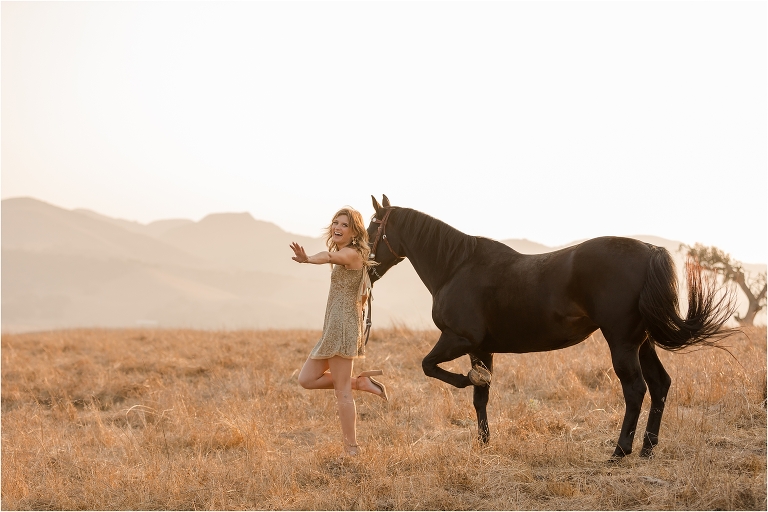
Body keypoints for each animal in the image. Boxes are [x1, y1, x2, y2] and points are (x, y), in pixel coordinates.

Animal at [366, 195, 735, 459]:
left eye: (371, 230)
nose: (367, 270)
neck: (456, 266)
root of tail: (649, 252)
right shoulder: (481, 347)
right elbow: (480, 399)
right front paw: (484, 442)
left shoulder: (460, 339)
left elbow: (431, 367)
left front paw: (470, 381)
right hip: (642, 342)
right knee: (660, 385)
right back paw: (646, 449)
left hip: (622, 342)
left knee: (635, 390)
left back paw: (620, 451)